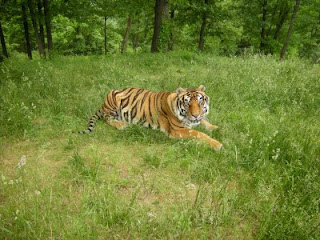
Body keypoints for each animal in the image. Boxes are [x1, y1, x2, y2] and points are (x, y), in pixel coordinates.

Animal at [79, 85, 222, 150]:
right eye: (187, 103)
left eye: (200, 101)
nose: (195, 114)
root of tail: (103, 104)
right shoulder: (177, 130)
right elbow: (199, 133)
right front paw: (218, 144)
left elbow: (205, 123)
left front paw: (218, 128)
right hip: (112, 99)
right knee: (107, 118)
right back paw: (121, 124)